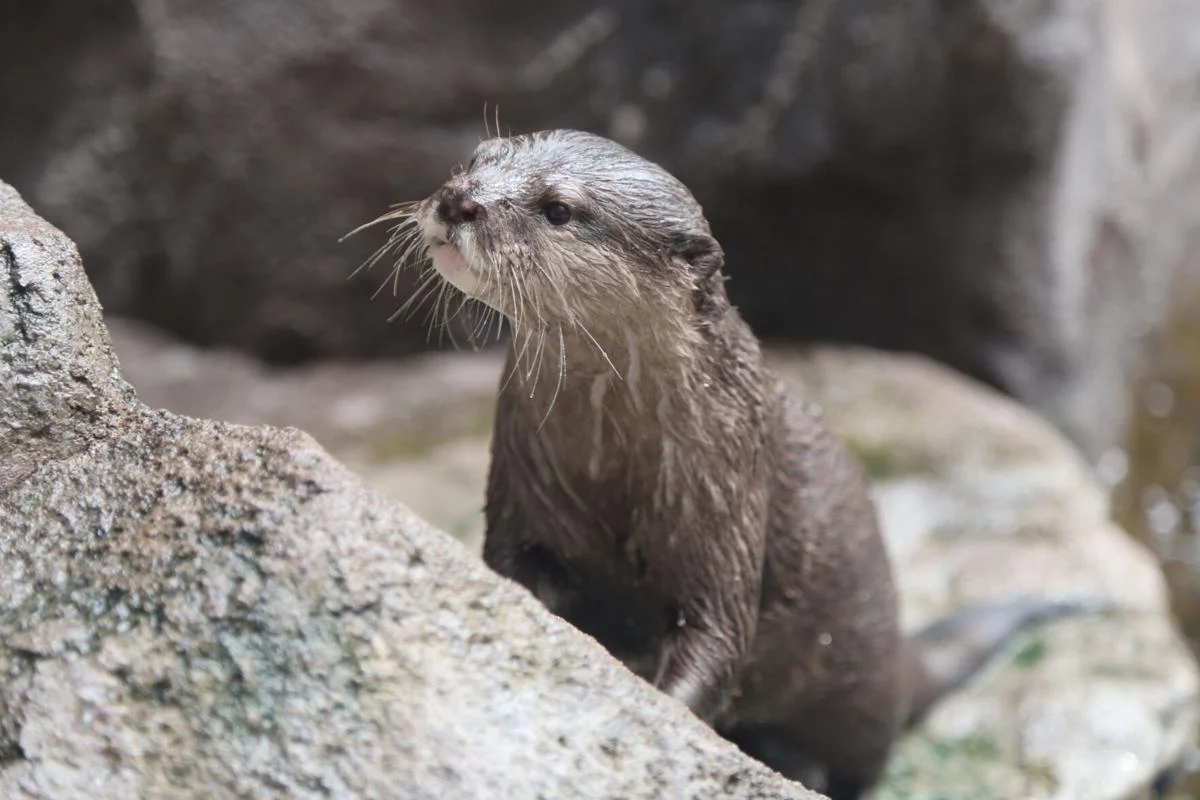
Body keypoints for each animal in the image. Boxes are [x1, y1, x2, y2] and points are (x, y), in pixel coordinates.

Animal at [362, 131, 1089, 800]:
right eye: (475, 158)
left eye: (559, 209)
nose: (459, 201)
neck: (613, 466)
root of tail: (897, 657)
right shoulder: (524, 492)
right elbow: (515, 575)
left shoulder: (728, 507)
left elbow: (716, 642)